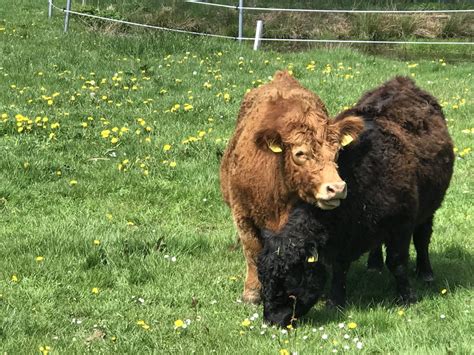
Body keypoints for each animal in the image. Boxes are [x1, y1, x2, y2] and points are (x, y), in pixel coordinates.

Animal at [220, 71, 364, 304]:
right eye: (300, 153)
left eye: (336, 152)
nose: (336, 188)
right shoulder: (242, 213)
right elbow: (252, 251)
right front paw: (252, 293)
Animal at [260, 76, 456, 326]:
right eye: (263, 280)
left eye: (290, 282)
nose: (271, 320)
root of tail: (402, 82)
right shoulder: (341, 238)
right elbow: (339, 268)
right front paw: (335, 302)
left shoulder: (401, 225)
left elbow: (398, 262)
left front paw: (407, 297)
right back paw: (374, 264)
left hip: (428, 208)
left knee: (422, 237)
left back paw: (425, 272)